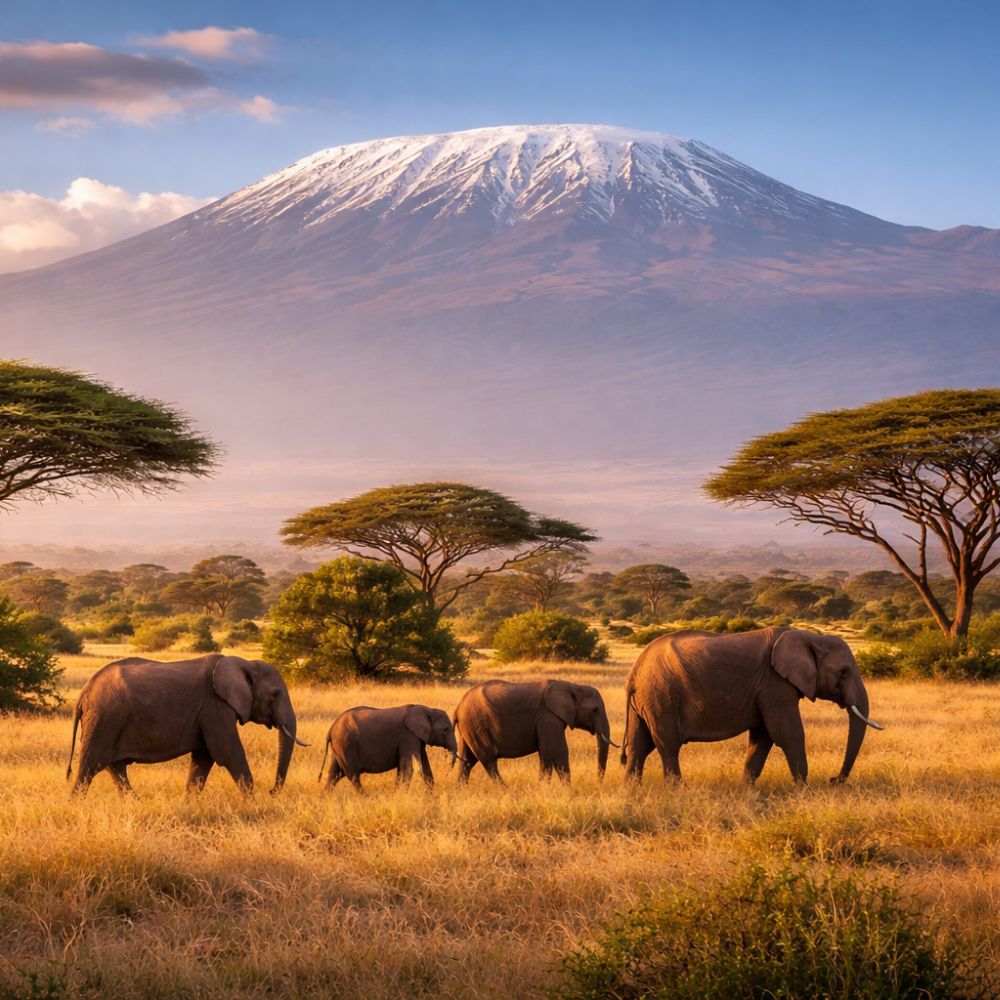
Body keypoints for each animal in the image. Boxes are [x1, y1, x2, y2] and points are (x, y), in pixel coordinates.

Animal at [66, 654, 307, 796]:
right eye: (276, 694)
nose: (271, 792)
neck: (244, 663)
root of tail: (85, 691)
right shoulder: (215, 707)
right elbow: (227, 752)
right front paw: (251, 803)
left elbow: (203, 758)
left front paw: (189, 804)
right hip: (105, 718)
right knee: (90, 766)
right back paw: (76, 804)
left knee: (114, 767)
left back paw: (132, 802)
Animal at [317, 704, 458, 791]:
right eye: (446, 730)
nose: (448, 769)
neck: (428, 709)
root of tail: (331, 728)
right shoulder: (409, 735)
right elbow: (410, 767)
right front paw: (401, 796)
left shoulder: (416, 738)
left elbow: (424, 767)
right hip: (345, 744)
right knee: (352, 775)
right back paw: (366, 798)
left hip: (339, 746)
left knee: (334, 773)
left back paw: (325, 797)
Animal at [453, 679, 616, 784]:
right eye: (595, 710)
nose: (598, 784)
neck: (572, 686)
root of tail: (459, 706)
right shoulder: (547, 716)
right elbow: (555, 752)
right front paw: (559, 790)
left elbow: (547, 753)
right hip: (477, 725)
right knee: (488, 761)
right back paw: (506, 791)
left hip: (469, 728)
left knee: (467, 761)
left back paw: (460, 792)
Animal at [621, 626, 883, 785]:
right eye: (844, 671)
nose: (833, 779)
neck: (808, 637)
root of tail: (636, 670)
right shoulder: (775, 684)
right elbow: (787, 734)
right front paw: (803, 790)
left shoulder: (766, 689)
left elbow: (763, 737)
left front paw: (747, 789)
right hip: (662, 697)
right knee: (667, 745)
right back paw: (677, 790)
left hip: (645, 701)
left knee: (639, 745)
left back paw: (633, 792)